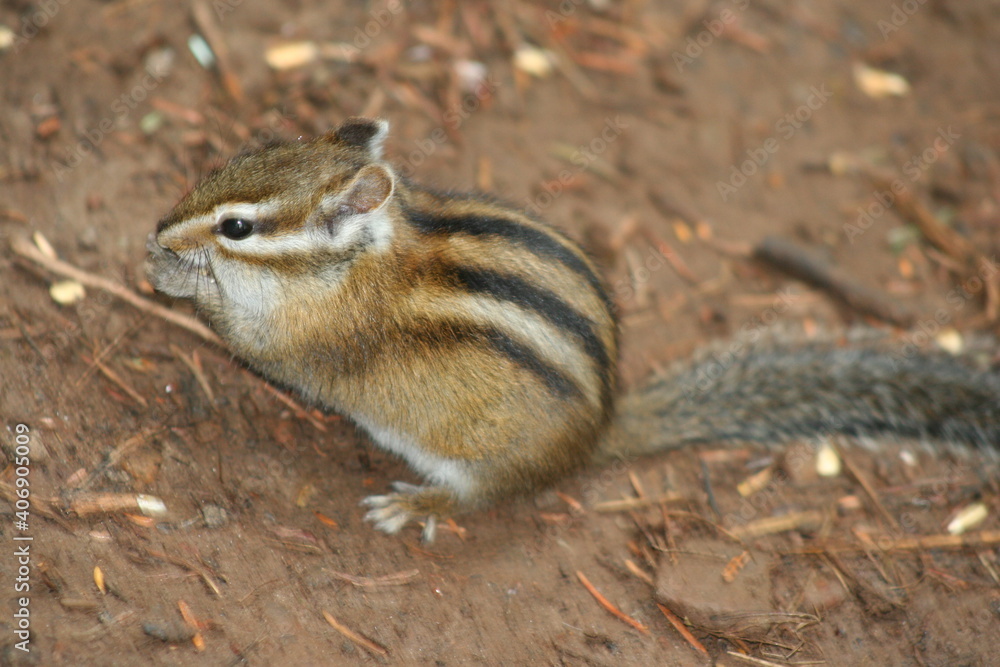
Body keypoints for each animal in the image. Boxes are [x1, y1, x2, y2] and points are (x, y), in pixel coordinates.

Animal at [146, 117, 1000, 542]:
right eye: (236, 157)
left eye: (238, 226)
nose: (161, 227)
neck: (362, 258)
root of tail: (600, 432)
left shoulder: (309, 340)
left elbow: (252, 342)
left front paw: (176, 277)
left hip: (482, 462)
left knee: (481, 498)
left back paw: (421, 506)